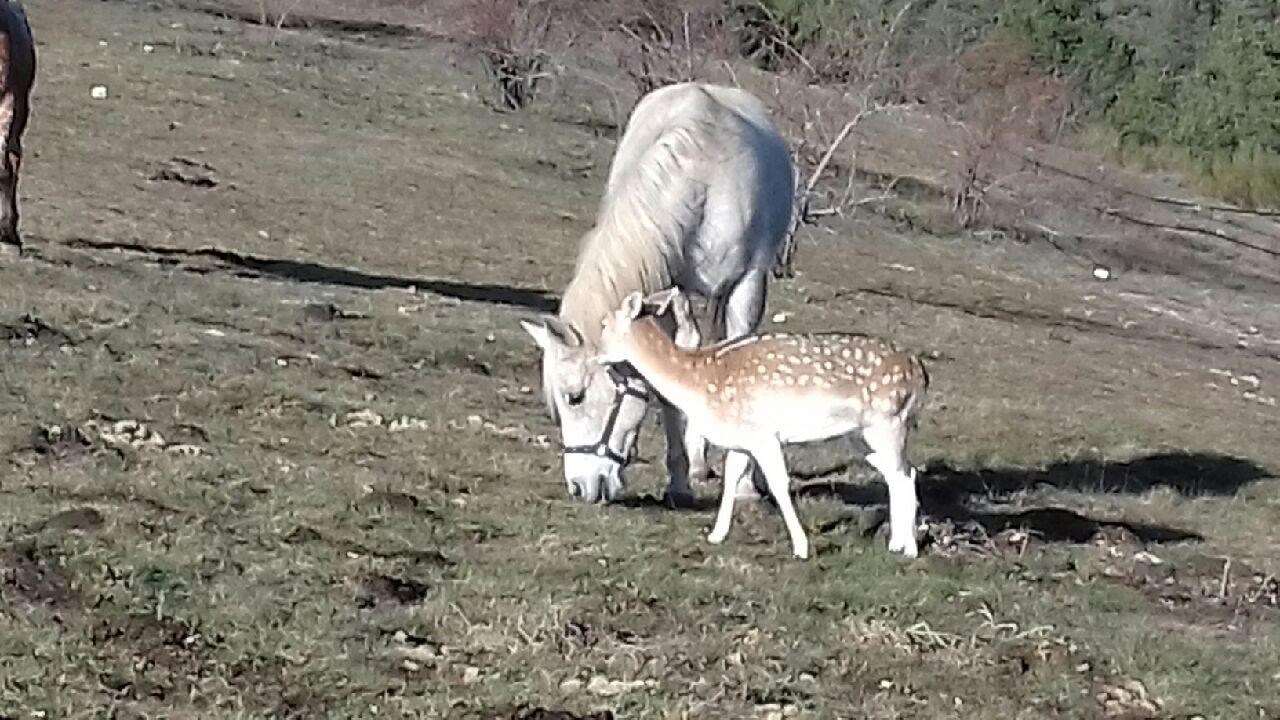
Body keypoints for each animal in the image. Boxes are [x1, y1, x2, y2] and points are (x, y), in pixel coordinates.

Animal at [517, 79, 788, 504]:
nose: (580, 488)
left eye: (575, 396)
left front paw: (744, 483)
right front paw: (679, 481)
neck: (703, 177)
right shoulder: (663, 291)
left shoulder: (748, 285)